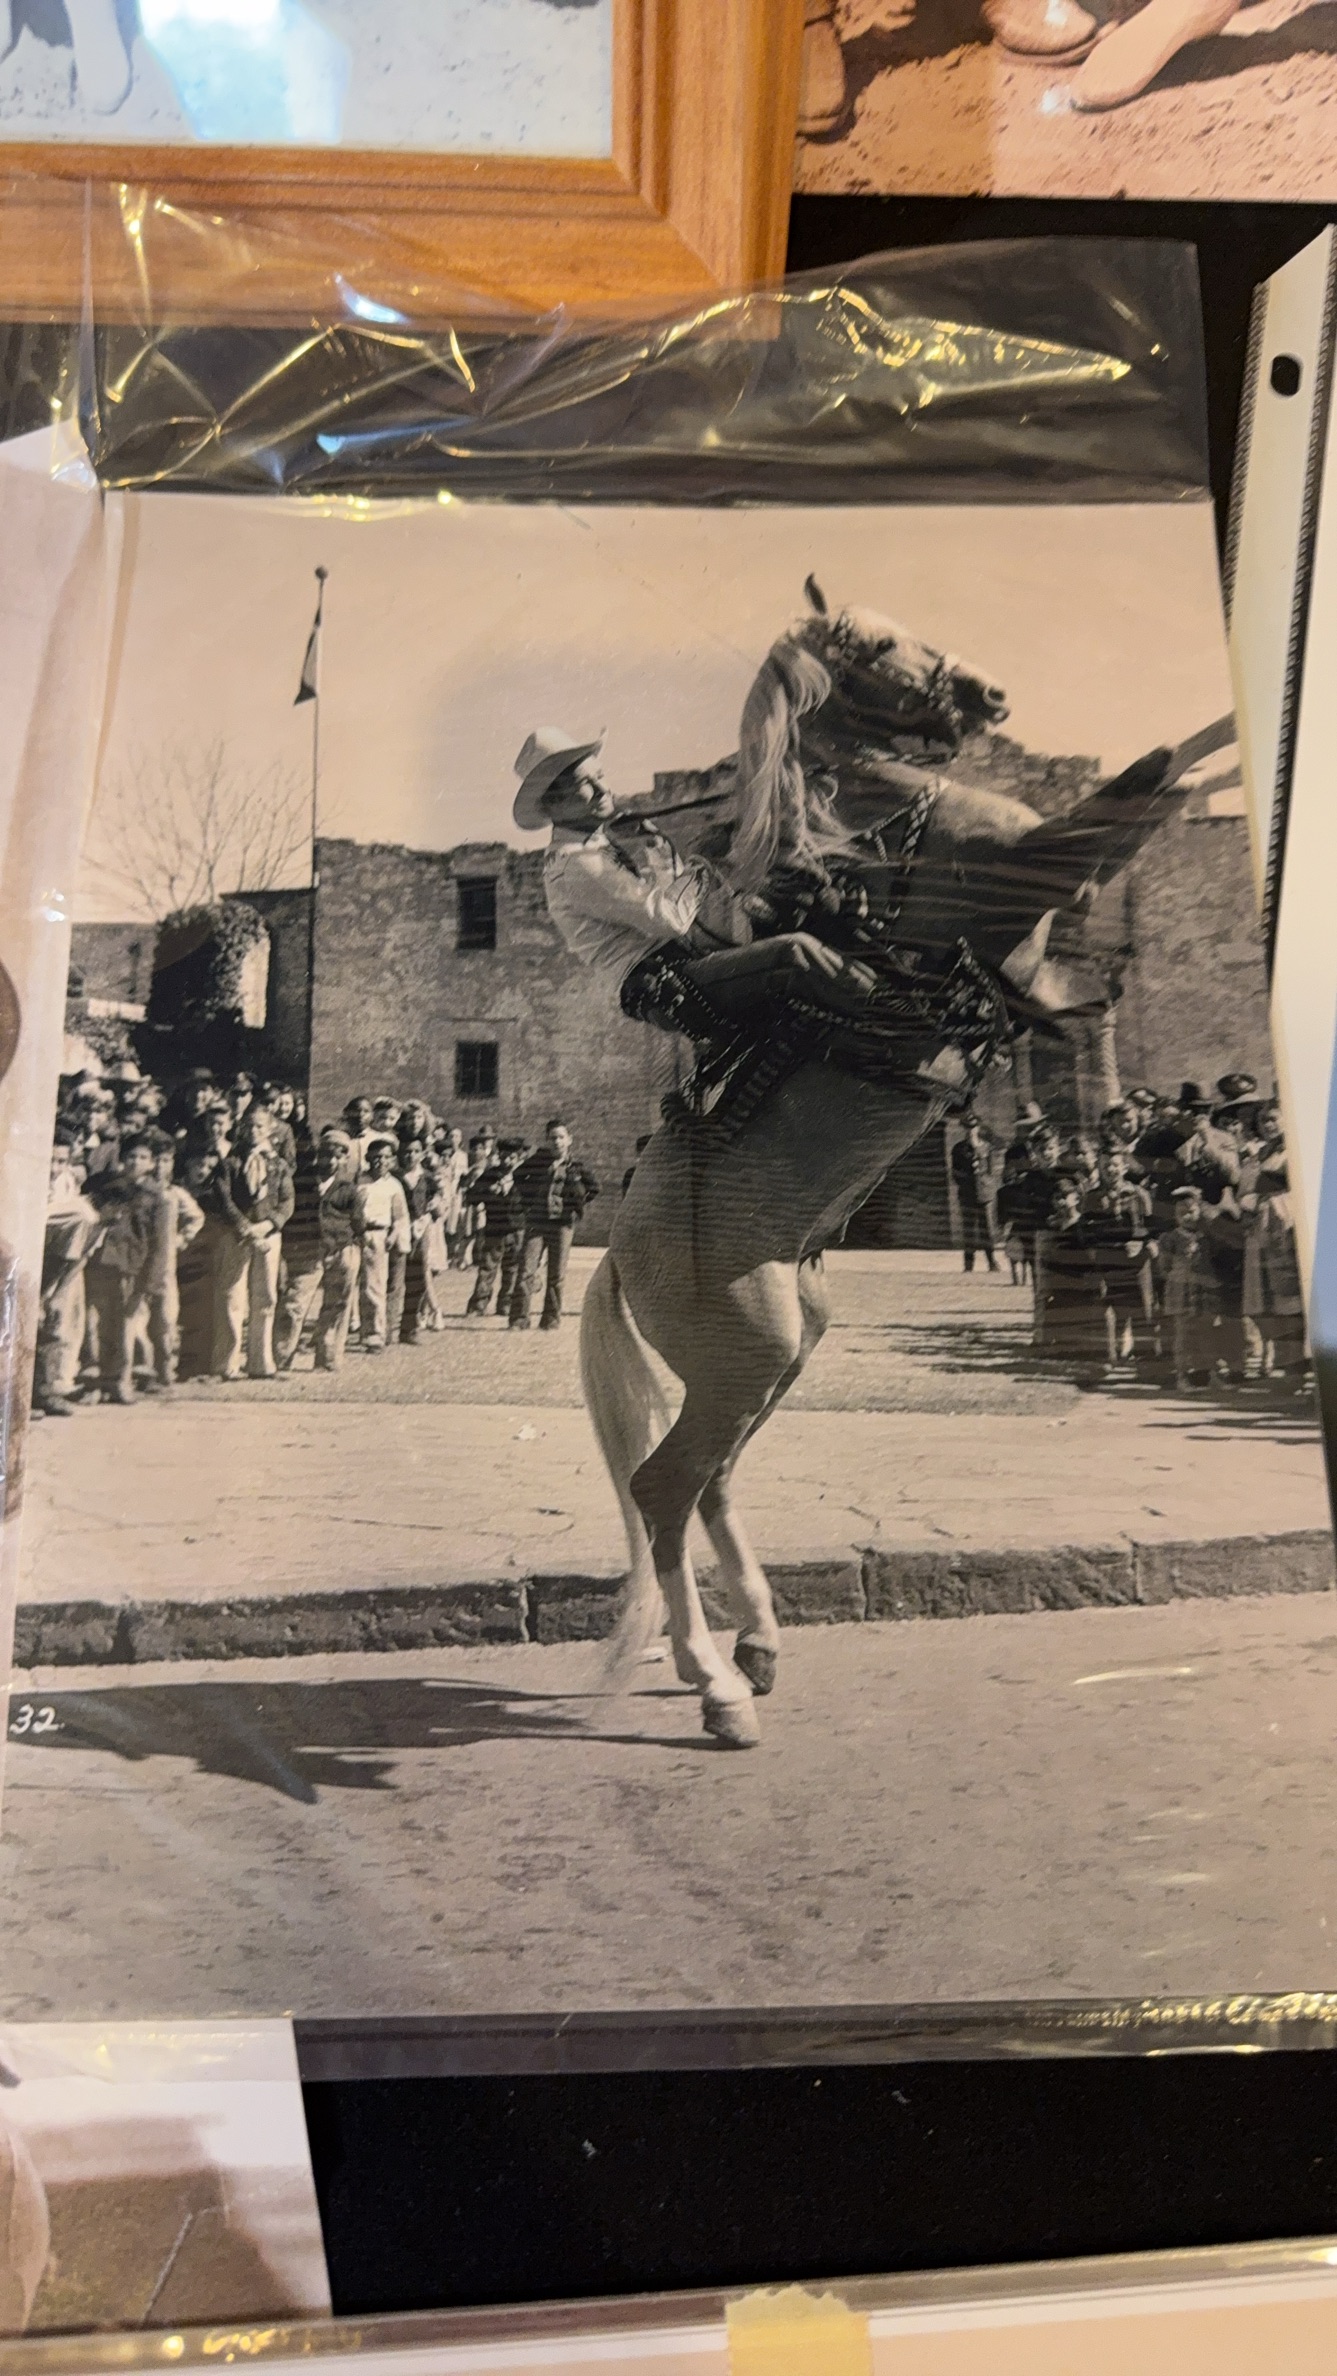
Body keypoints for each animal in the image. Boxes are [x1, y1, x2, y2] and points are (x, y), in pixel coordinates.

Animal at [579, 583, 1234, 1749]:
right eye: (870, 641)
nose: (986, 694)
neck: (883, 828)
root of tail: (614, 1255)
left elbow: (1160, 785)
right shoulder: (1041, 864)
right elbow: (1146, 784)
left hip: (777, 1354)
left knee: (710, 1483)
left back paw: (758, 1642)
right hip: (746, 1359)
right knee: (664, 1490)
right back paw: (714, 1681)